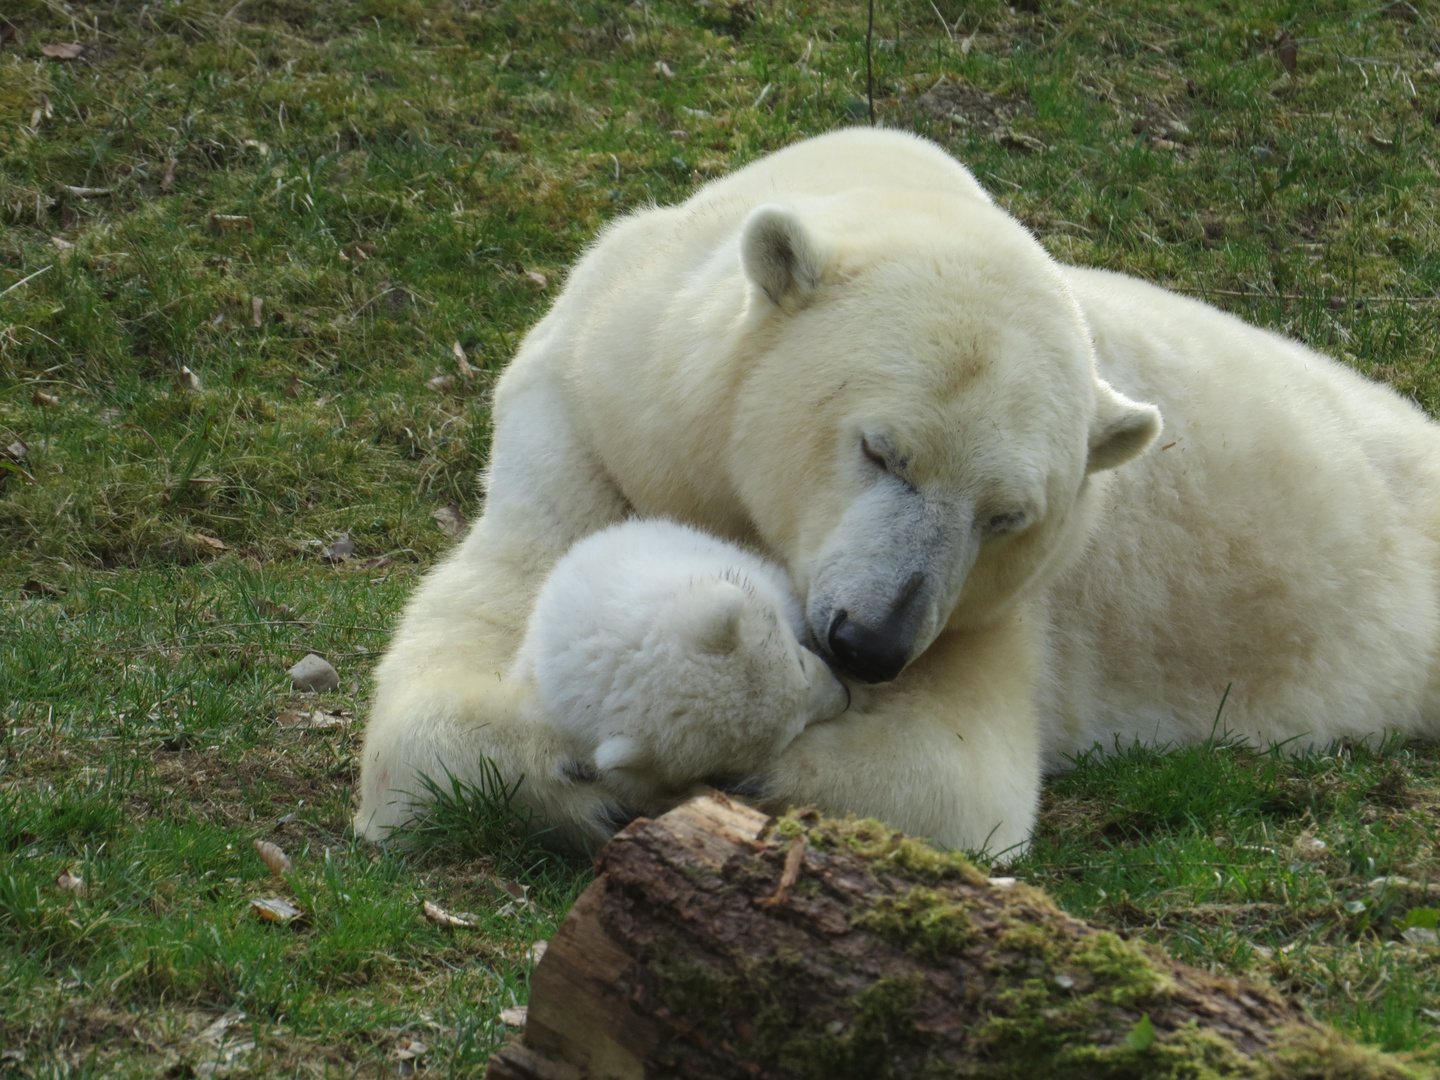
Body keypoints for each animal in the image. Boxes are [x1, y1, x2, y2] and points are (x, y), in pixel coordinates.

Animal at [354, 128, 1440, 852]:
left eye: (1008, 517)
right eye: (882, 451)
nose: (869, 644)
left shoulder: (999, 610)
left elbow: (958, 778)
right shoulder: (586, 412)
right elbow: (463, 654)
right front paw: (567, 769)